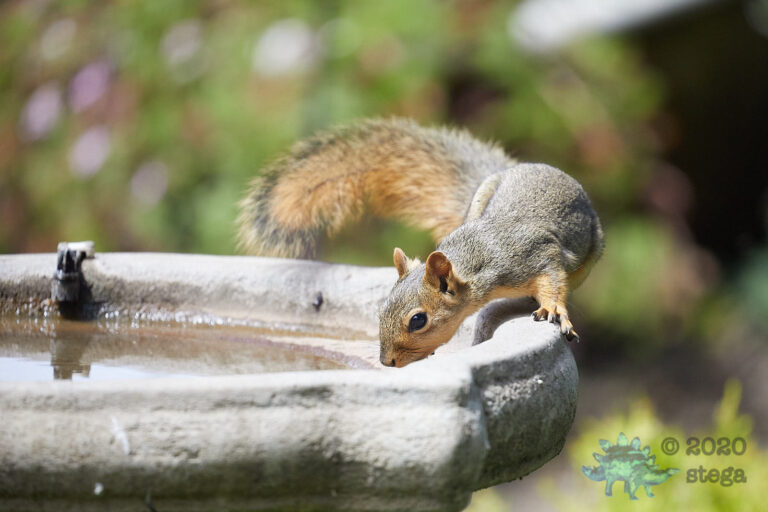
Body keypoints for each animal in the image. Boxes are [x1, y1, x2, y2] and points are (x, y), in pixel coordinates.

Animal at [237, 118, 604, 367]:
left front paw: (554, 309)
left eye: (417, 321)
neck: (477, 253)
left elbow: (552, 280)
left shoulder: (535, 255)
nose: (386, 362)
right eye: (381, 308)